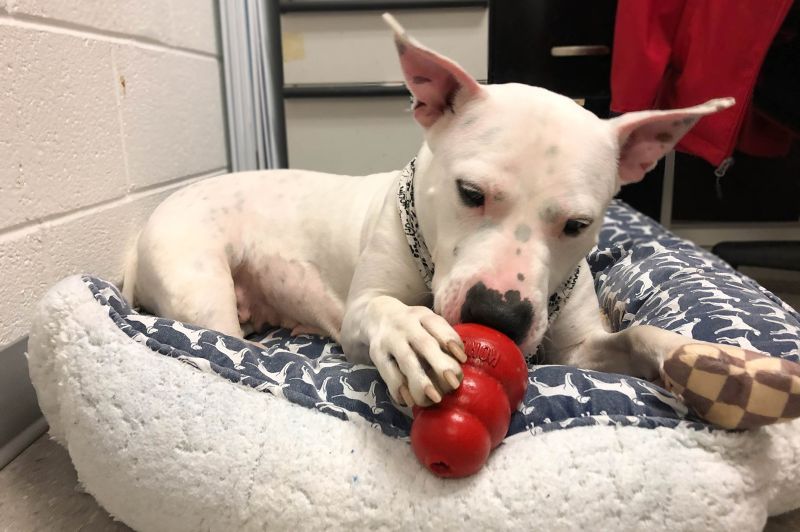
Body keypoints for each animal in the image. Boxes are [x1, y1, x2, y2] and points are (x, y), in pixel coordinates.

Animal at [123, 15, 732, 408]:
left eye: (577, 226)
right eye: (470, 192)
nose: (498, 314)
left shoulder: (581, 350)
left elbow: (639, 336)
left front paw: (705, 362)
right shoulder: (360, 310)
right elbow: (382, 309)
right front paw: (411, 332)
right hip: (202, 289)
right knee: (227, 339)